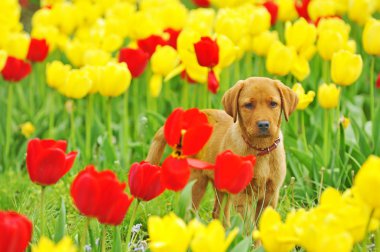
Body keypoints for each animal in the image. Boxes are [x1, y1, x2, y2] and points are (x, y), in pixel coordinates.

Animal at [145, 76, 296, 222]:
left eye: (273, 104)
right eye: (248, 105)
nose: (263, 124)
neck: (260, 149)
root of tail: (185, 119)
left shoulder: (271, 194)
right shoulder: (242, 194)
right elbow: (247, 225)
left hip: (221, 186)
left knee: (218, 213)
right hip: (196, 181)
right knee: (190, 212)